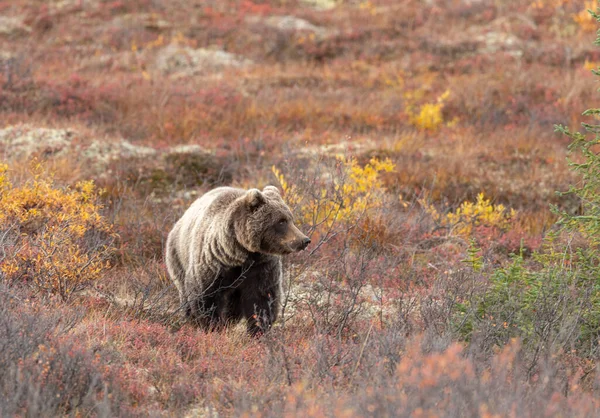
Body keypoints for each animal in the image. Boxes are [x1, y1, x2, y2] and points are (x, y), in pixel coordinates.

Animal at [166, 186, 312, 336]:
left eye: (291, 219)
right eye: (281, 221)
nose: (304, 240)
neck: (239, 254)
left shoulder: (261, 266)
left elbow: (262, 298)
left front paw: (258, 330)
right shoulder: (212, 264)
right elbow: (205, 297)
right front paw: (211, 326)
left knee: (234, 307)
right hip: (177, 258)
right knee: (186, 294)